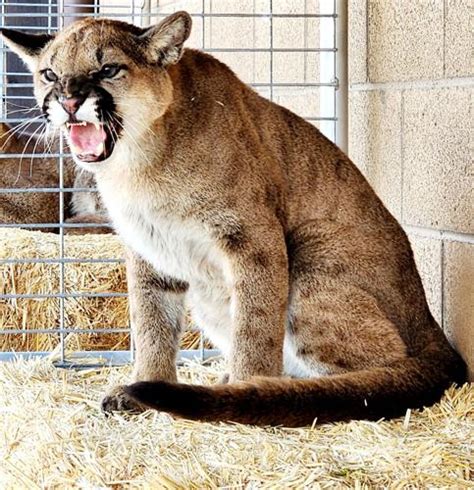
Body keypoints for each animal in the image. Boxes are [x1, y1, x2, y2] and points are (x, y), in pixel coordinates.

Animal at [0, 11, 466, 424]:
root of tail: (431, 327)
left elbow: (255, 325)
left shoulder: (252, 237)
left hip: (311, 255)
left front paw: (244, 389)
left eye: (109, 69)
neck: (138, 163)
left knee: (378, 369)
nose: (68, 100)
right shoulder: (148, 247)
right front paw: (146, 383)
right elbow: (150, 323)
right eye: (49, 74)